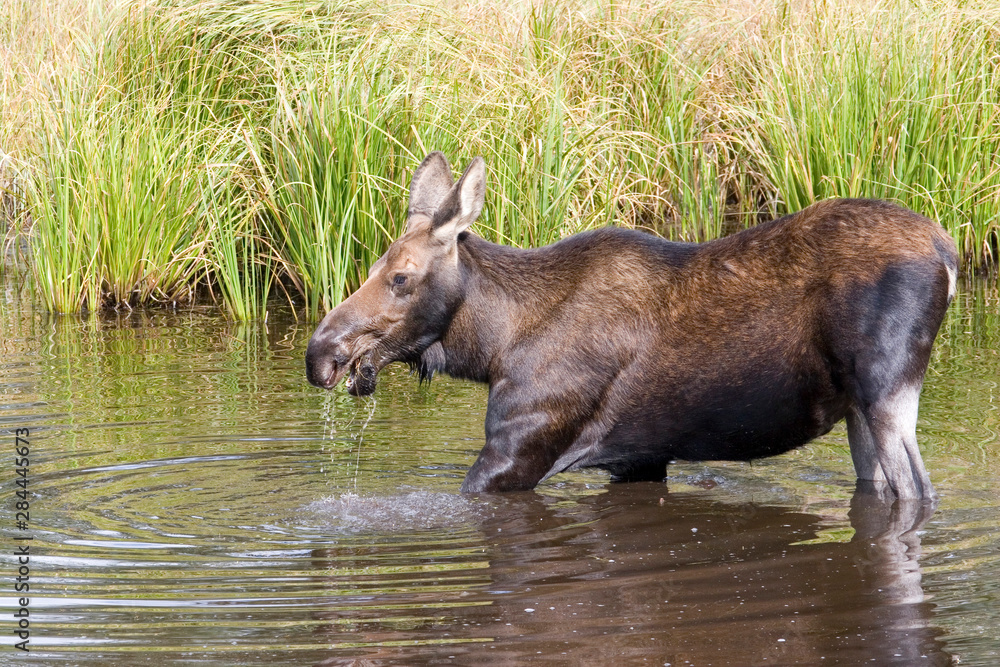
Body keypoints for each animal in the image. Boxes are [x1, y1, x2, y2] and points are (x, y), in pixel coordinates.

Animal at [306, 153, 960, 500]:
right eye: (373, 268)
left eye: (401, 278)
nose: (322, 354)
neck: (492, 347)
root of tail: (948, 254)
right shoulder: (639, 458)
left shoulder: (516, 450)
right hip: (855, 407)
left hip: (886, 390)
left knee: (918, 492)